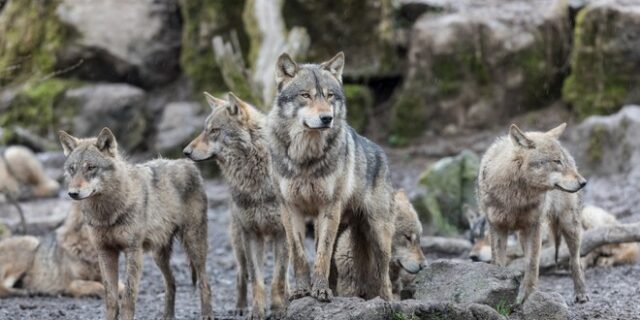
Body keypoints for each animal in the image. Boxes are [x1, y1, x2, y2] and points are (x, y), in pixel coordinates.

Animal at [58, 127, 212, 320]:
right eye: (72, 169)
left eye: (91, 167)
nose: (73, 193)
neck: (108, 213)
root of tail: (187, 163)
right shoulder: (105, 252)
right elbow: (111, 298)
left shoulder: (133, 251)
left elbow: (128, 297)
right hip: (158, 255)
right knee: (171, 283)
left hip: (194, 246)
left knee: (205, 283)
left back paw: (207, 314)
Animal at [182, 91, 288, 318]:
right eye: (205, 129)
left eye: (214, 131)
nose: (185, 152)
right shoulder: (251, 233)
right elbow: (256, 280)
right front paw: (256, 311)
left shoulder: (282, 233)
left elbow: (278, 277)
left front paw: (278, 308)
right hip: (239, 240)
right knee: (241, 273)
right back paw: (240, 307)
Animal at [264, 51, 396, 302]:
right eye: (306, 95)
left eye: (329, 95)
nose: (327, 118)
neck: (305, 157)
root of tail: (382, 153)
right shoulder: (290, 209)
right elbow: (299, 254)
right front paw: (302, 290)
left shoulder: (328, 208)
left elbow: (321, 254)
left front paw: (320, 290)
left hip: (378, 236)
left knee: (384, 278)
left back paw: (385, 301)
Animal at [478, 123, 588, 304]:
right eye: (557, 161)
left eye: (562, 161)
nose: (584, 182)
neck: (516, 198)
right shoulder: (497, 227)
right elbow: (498, 262)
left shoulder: (534, 227)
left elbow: (532, 264)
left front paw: (527, 295)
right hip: (523, 235)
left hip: (569, 226)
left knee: (575, 260)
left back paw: (581, 293)